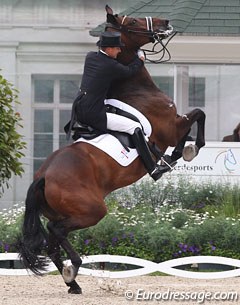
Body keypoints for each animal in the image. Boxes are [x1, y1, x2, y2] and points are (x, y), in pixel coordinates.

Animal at [16, 5, 204, 294]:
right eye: (134, 21)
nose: (165, 23)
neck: (137, 88)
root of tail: (43, 176)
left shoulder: (174, 127)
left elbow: (192, 125)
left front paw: (176, 155)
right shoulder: (172, 127)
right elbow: (197, 116)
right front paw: (184, 153)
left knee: (52, 242)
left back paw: (73, 283)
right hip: (91, 210)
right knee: (56, 231)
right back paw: (74, 267)